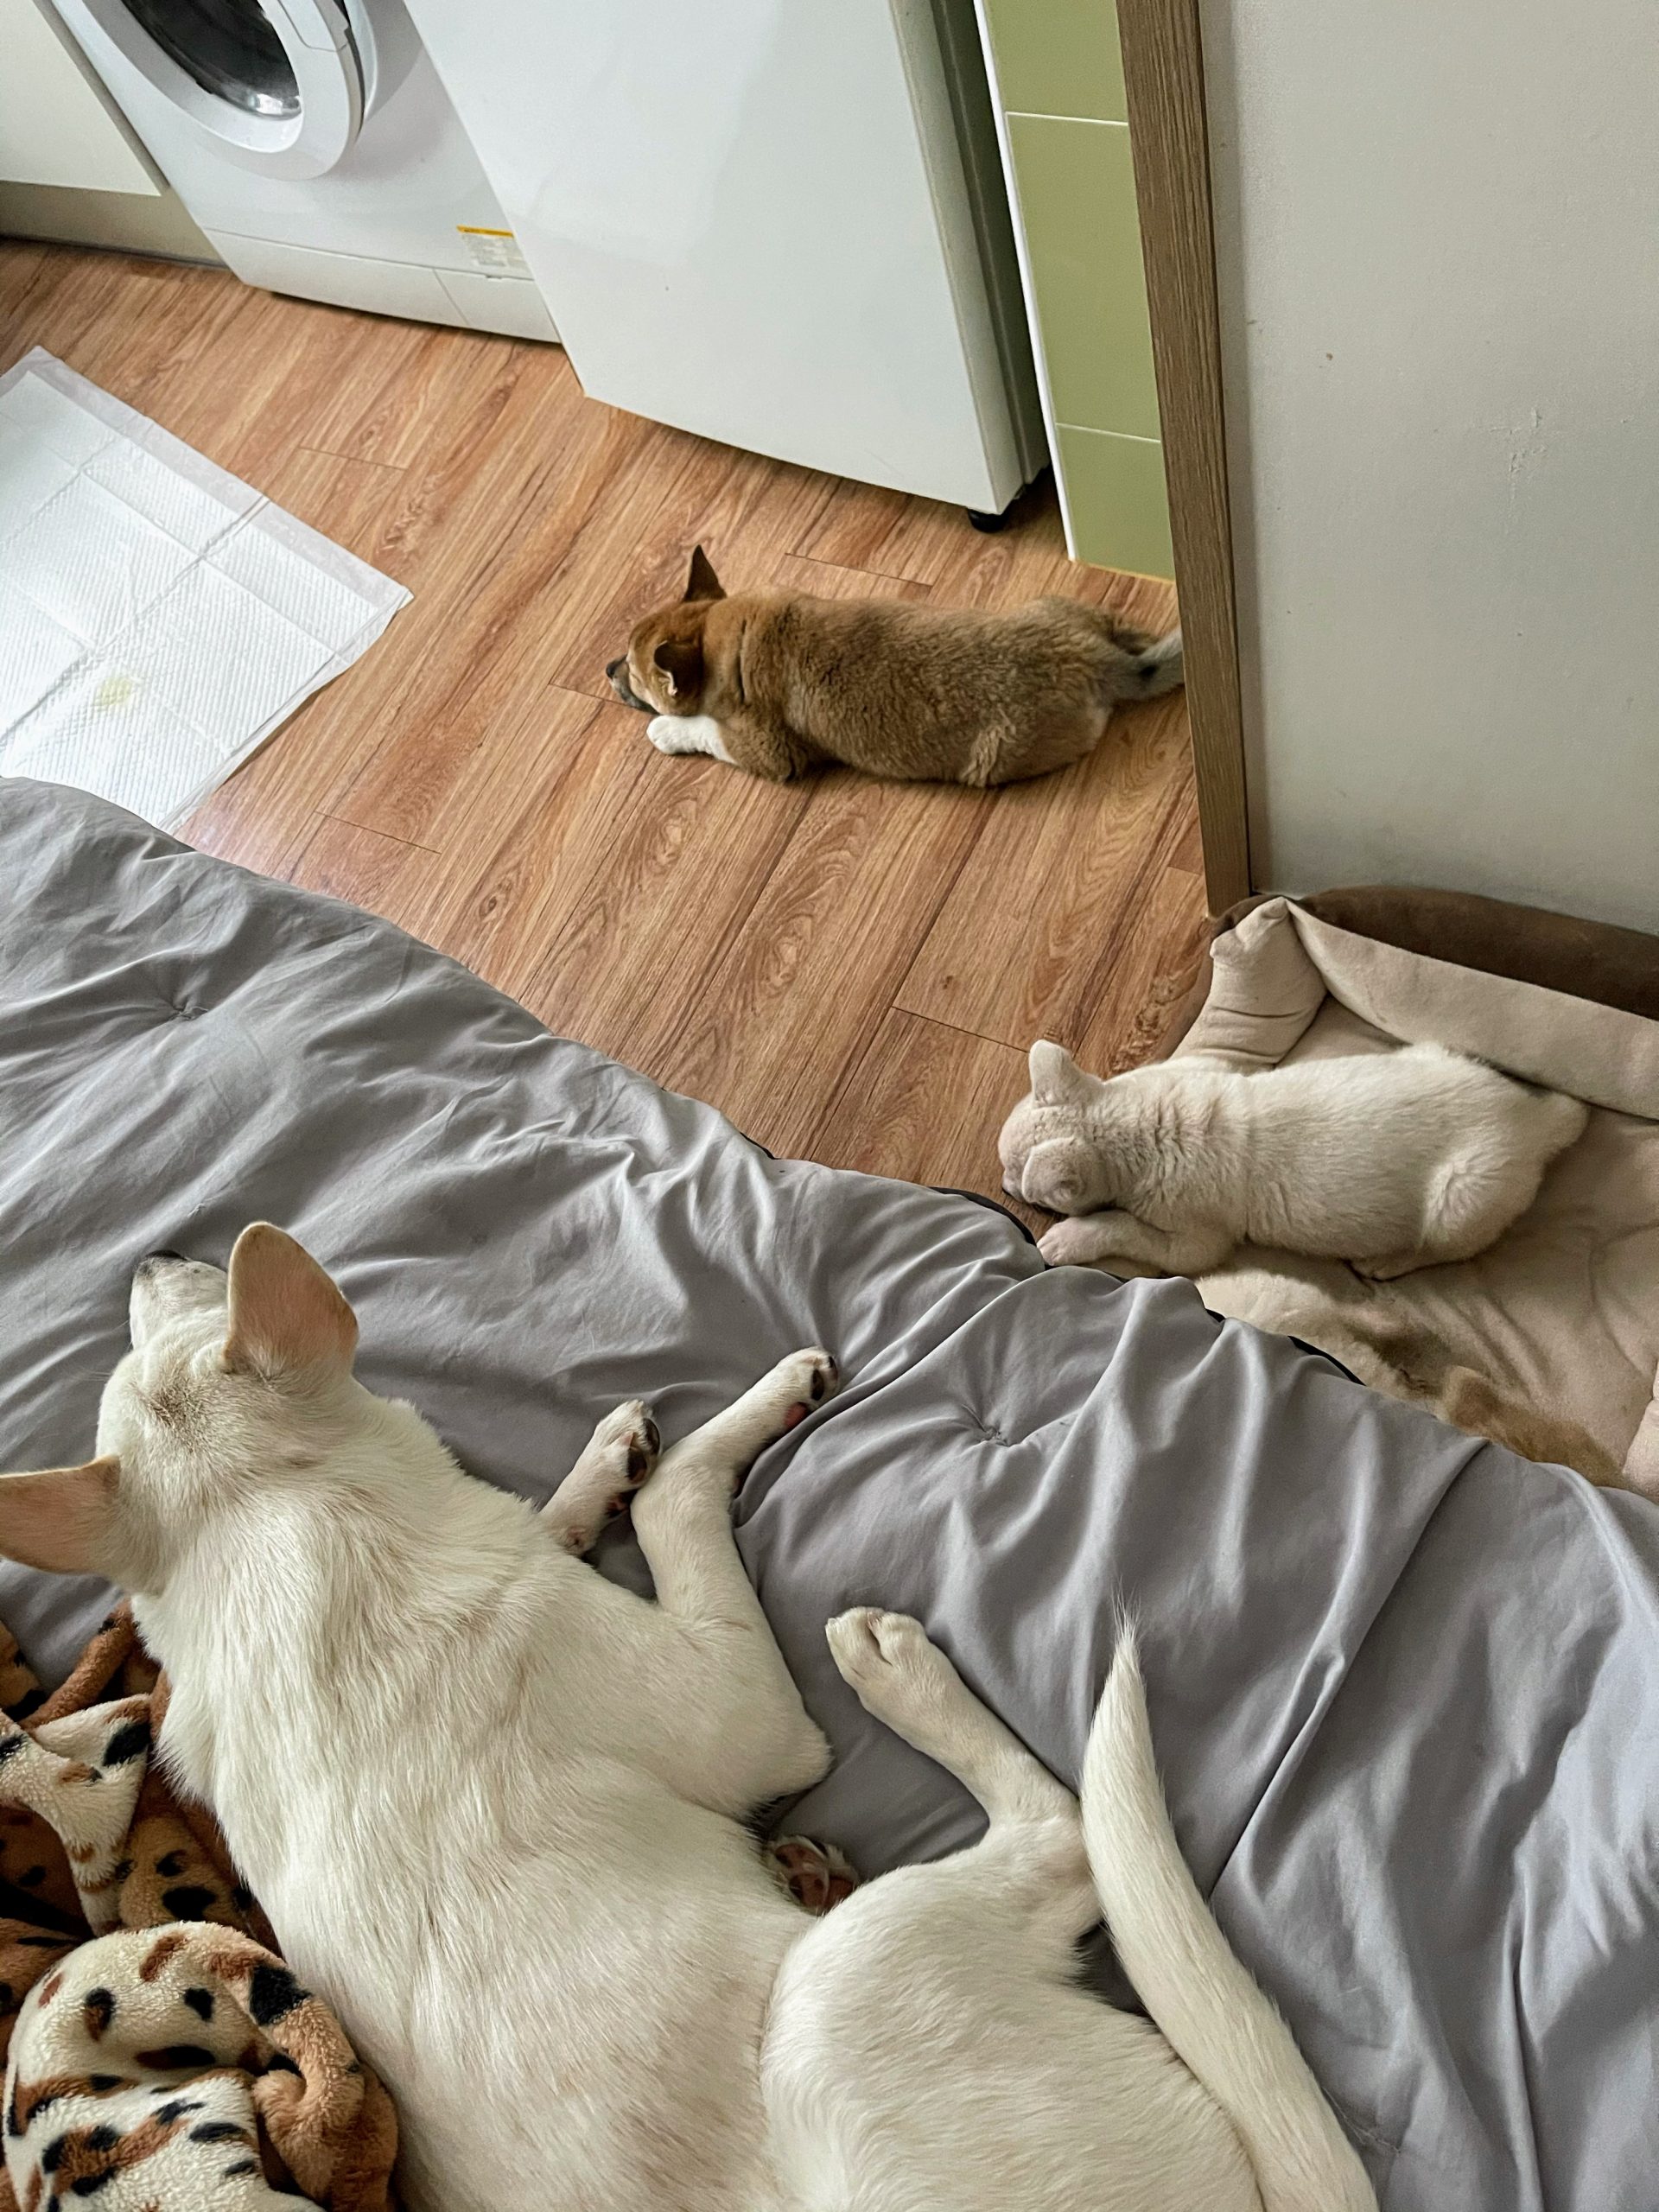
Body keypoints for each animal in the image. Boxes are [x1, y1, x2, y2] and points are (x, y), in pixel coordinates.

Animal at [0, 1226, 1375, 2212]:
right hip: (841, 1998)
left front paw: (600, 1464)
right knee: (1068, 1833)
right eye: (186, 1307)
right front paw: (746, 1413)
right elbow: (674, 1512)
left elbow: (587, 1509)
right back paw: (897, 1674)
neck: (259, 1530)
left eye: (153, 1330)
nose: (150, 1254)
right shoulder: (748, 1715)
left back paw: (811, 1859)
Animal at [605, 546, 1184, 785]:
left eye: (633, 672)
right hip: (1061, 608)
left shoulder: (766, 751)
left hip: (1000, 759)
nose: (607, 670)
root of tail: (1094, 658)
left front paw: (665, 730)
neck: (720, 634)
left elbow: (702, 729)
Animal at [1003, 1039, 1588, 1278]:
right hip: (1432, 1051)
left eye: (1016, 1177)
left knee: (1446, 1249)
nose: (1004, 1186)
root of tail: (1534, 1121)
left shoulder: (1196, 1243)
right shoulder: (1204, 1065)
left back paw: (1388, 1262)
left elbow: (1122, 1226)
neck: (1133, 1123)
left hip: (1464, 1196)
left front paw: (1068, 1239)